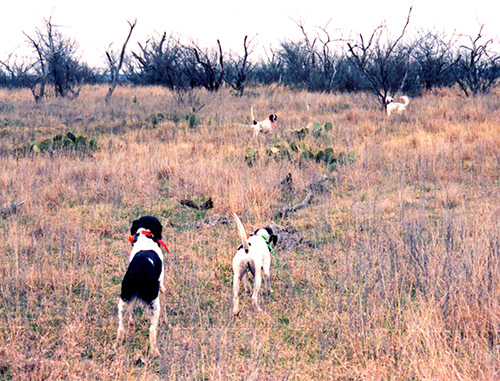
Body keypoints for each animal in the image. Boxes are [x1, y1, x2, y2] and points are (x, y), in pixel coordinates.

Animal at [114, 217, 169, 356]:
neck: (145, 236)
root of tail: (139, 272)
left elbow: (131, 319)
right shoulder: (160, 285)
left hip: (123, 300)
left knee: (121, 327)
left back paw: (117, 346)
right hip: (154, 304)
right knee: (152, 330)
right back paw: (155, 352)